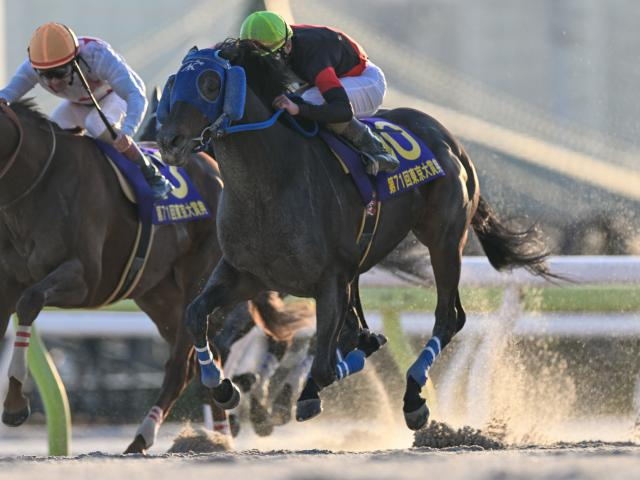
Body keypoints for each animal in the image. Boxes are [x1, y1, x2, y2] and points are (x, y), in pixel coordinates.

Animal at [0, 99, 298, 453]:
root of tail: (216, 170)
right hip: (157, 295)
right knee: (203, 358)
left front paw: (15, 406)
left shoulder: (85, 278)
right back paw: (216, 434)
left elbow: (30, 300)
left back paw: (147, 435)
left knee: (180, 366)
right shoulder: (7, 281)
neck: (38, 183)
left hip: (196, 280)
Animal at [156, 41, 554, 431]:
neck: (268, 186)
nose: (169, 141)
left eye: (210, 84)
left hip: (444, 239)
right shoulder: (247, 274)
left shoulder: (329, 280)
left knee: (449, 316)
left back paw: (413, 397)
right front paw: (223, 387)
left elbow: (325, 365)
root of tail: (448, 138)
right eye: (175, 82)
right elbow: (195, 315)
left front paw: (305, 390)